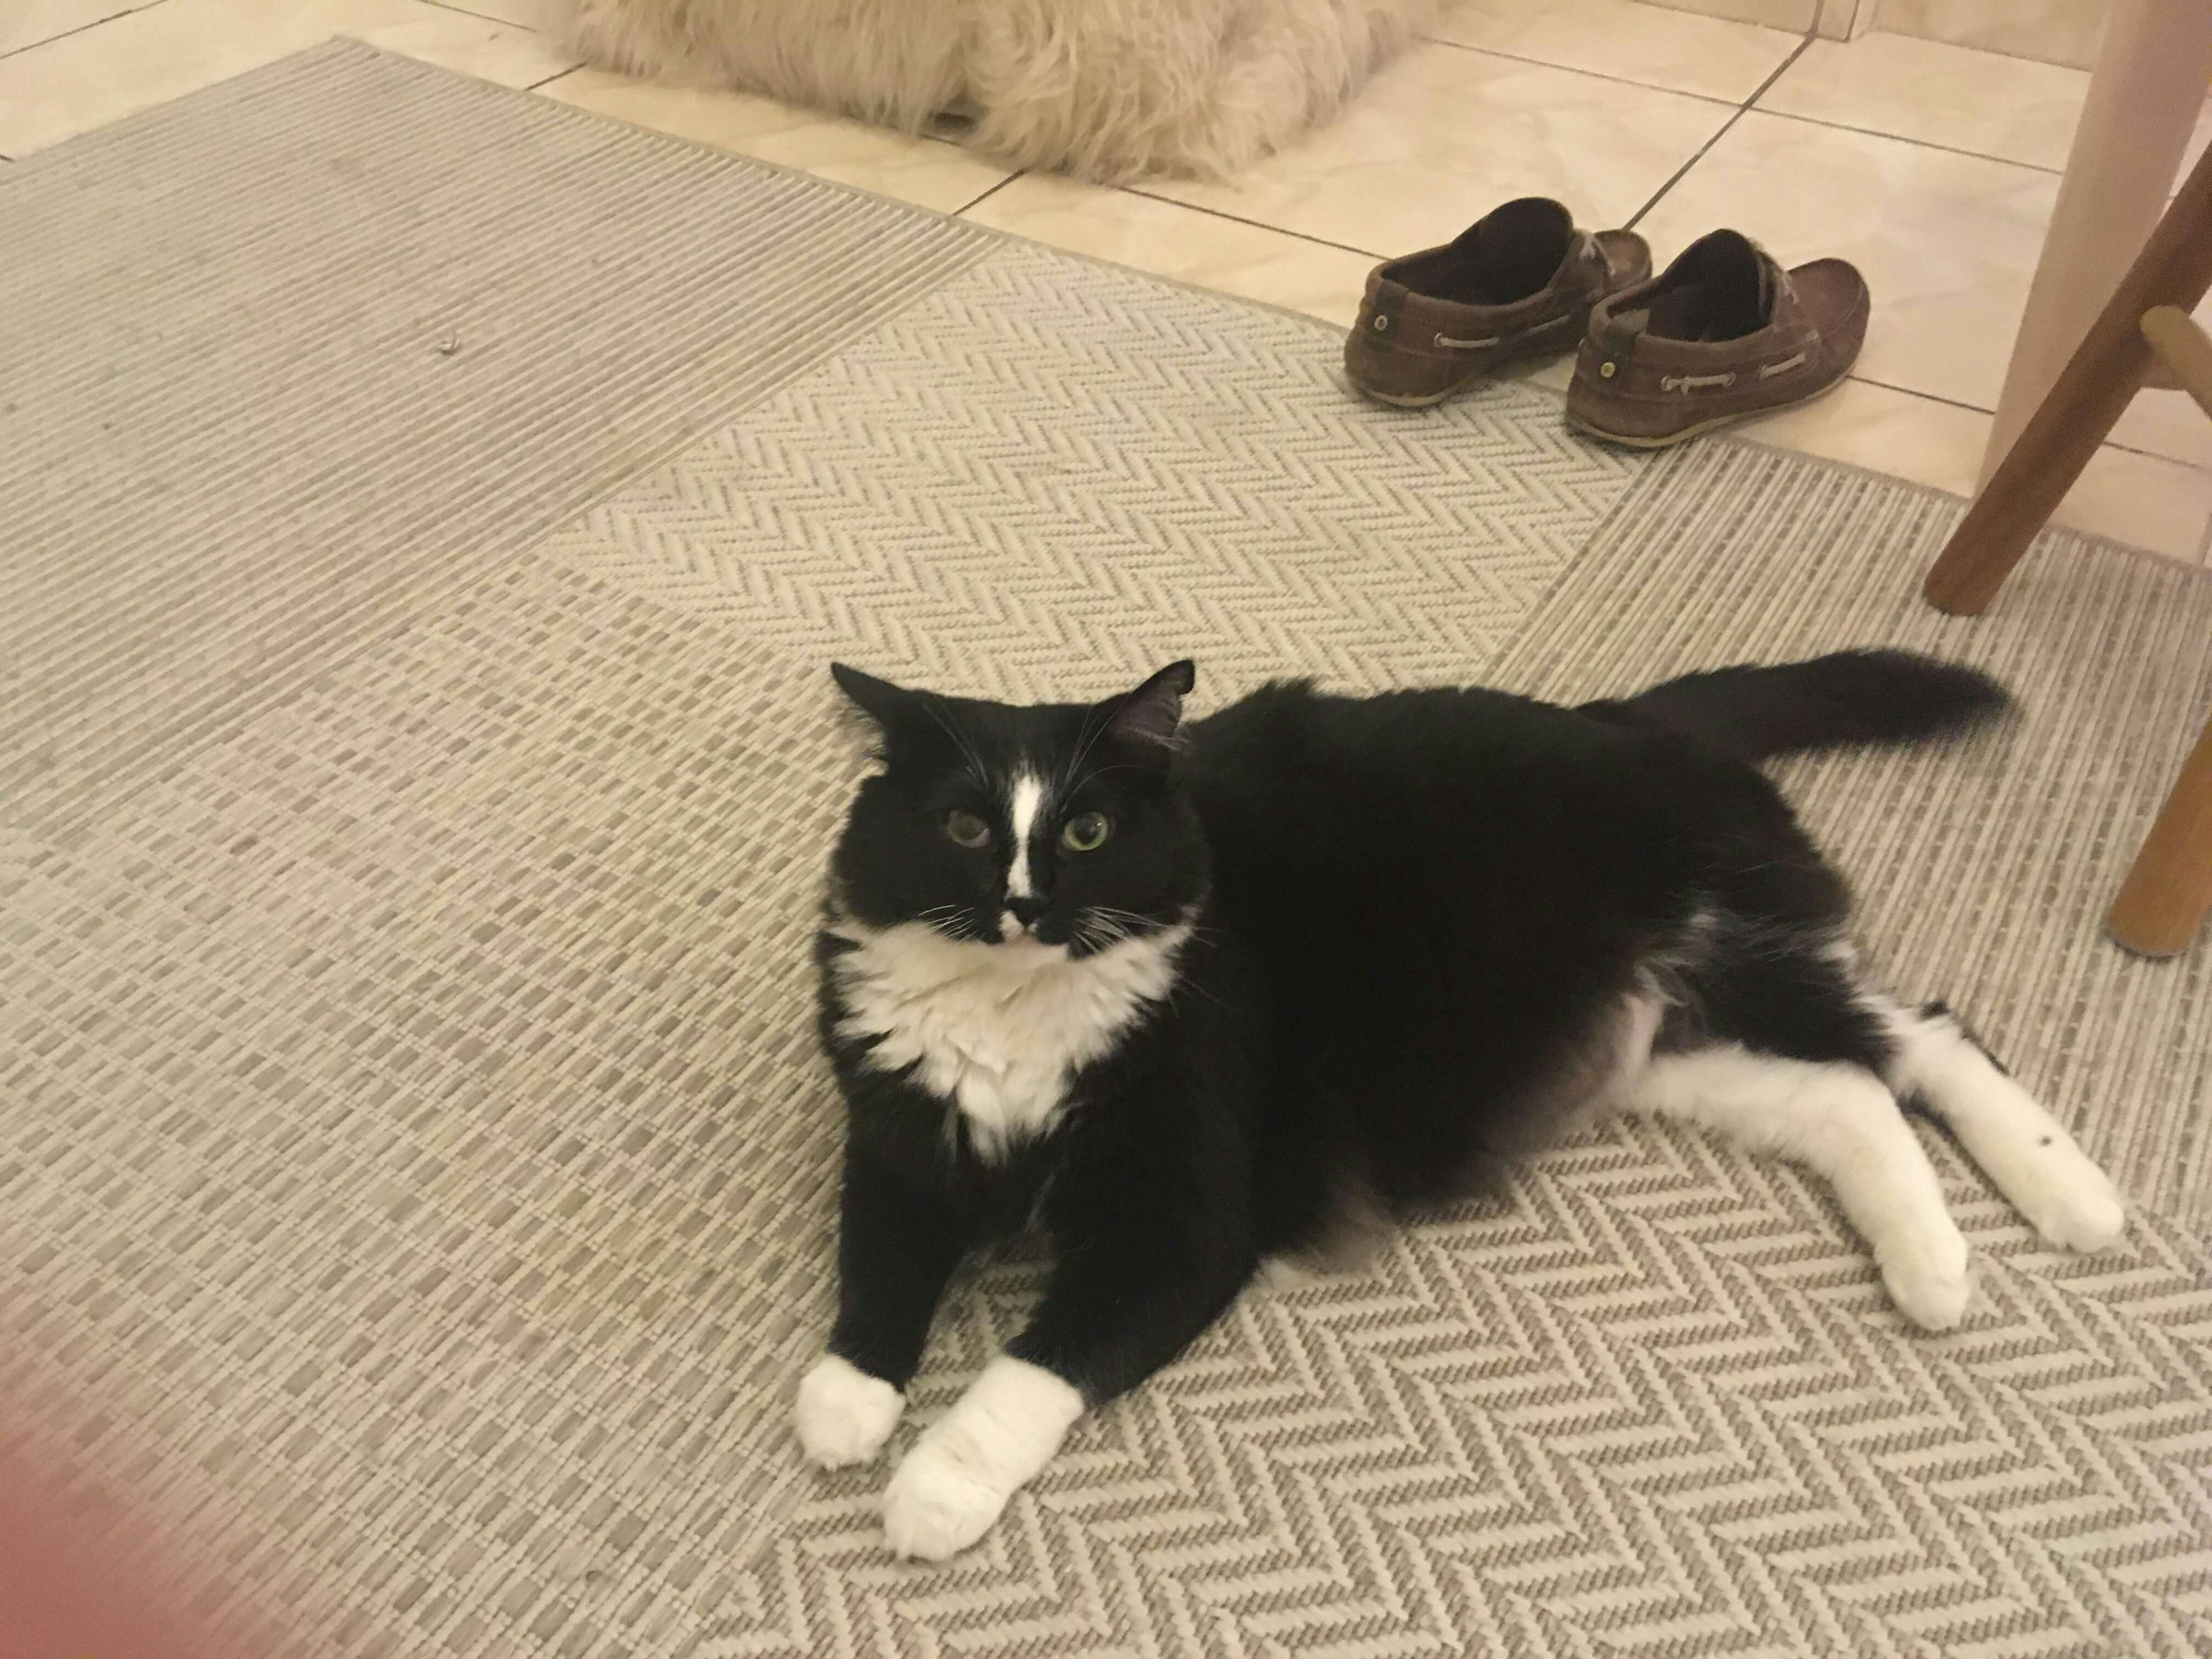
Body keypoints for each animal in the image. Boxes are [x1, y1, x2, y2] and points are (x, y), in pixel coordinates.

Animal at [796, 654, 2123, 1566]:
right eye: (966, 826)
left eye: (1086, 829)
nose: (1025, 906)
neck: (1016, 1026)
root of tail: (1632, 716)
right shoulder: (901, 1142)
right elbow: (876, 1269)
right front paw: (846, 1402)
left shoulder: (1183, 1221)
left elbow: (1037, 1367)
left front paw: (935, 1489)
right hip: (1663, 1043)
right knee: (1850, 1097)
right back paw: (1933, 1271)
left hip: (1734, 952)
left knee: (1928, 1036)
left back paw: (2071, 1201)